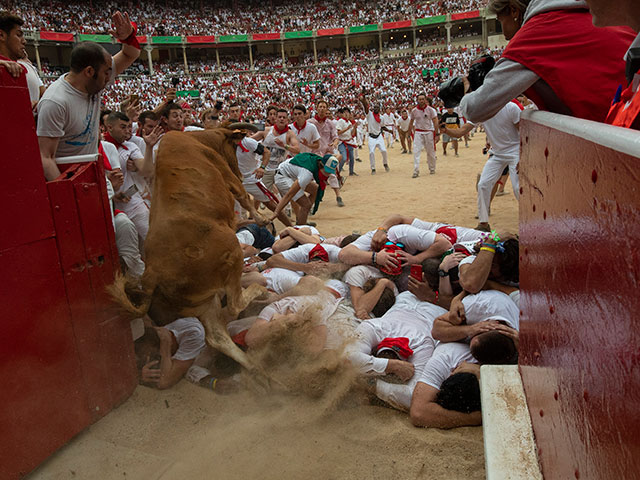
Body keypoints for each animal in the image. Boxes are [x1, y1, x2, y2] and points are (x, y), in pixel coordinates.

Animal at [110, 124, 268, 372]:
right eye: (236, 146)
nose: (243, 170)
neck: (201, 139)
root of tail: (152, 275)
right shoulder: (228, 176)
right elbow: (244, 196)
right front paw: (261, 218)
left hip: (204, 302)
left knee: (216, 336)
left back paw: (255, 365)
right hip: (231, 252)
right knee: (234, 305)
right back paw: (259, 291)